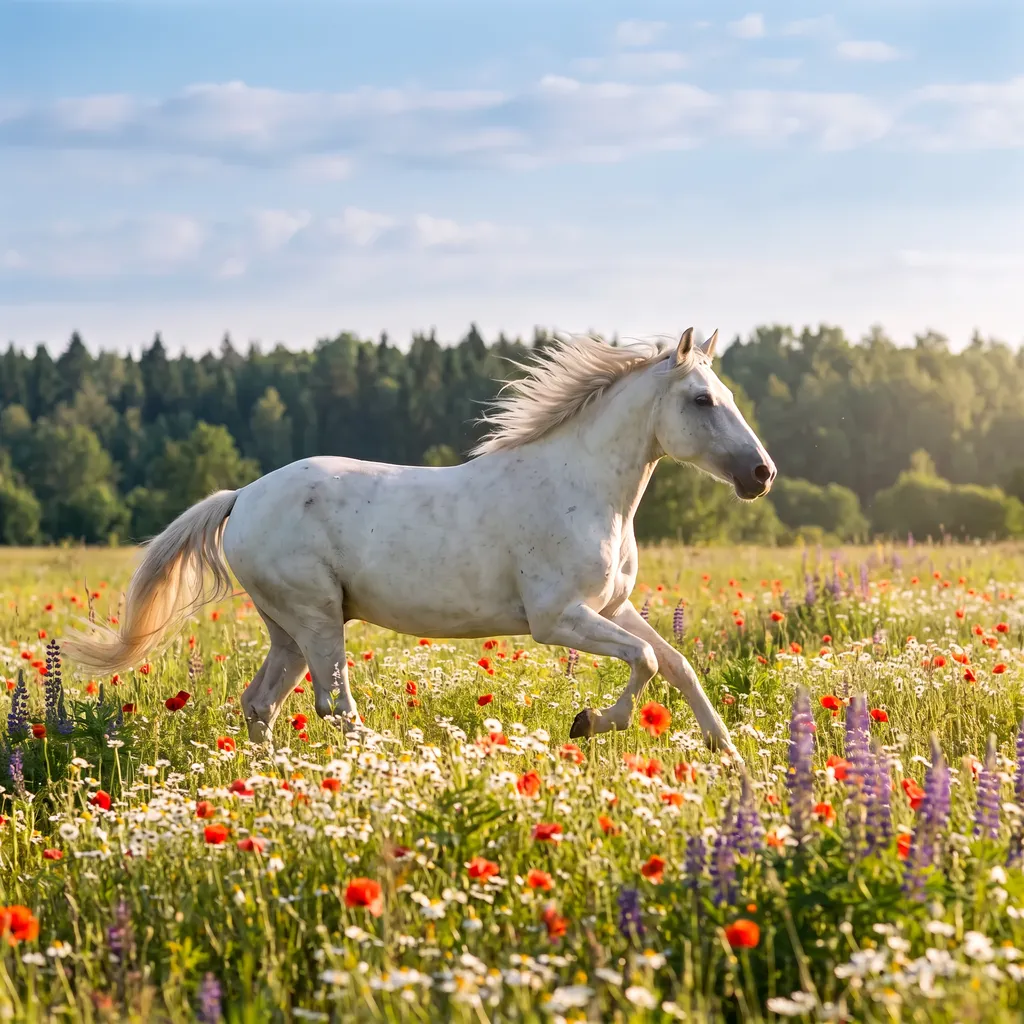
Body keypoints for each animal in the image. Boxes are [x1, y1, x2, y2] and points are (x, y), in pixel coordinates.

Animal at [62, 327, 776, 758]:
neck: (583, 486)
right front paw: (590, 722)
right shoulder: (557, 619)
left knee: (261, 701)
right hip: (316, 616)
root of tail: (241, 498)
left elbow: (676, 664)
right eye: (702, 399)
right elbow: (648, 661)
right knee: (335, 705)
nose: (761, 474)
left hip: (288, 629)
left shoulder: (611, 607)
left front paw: (728, 753)